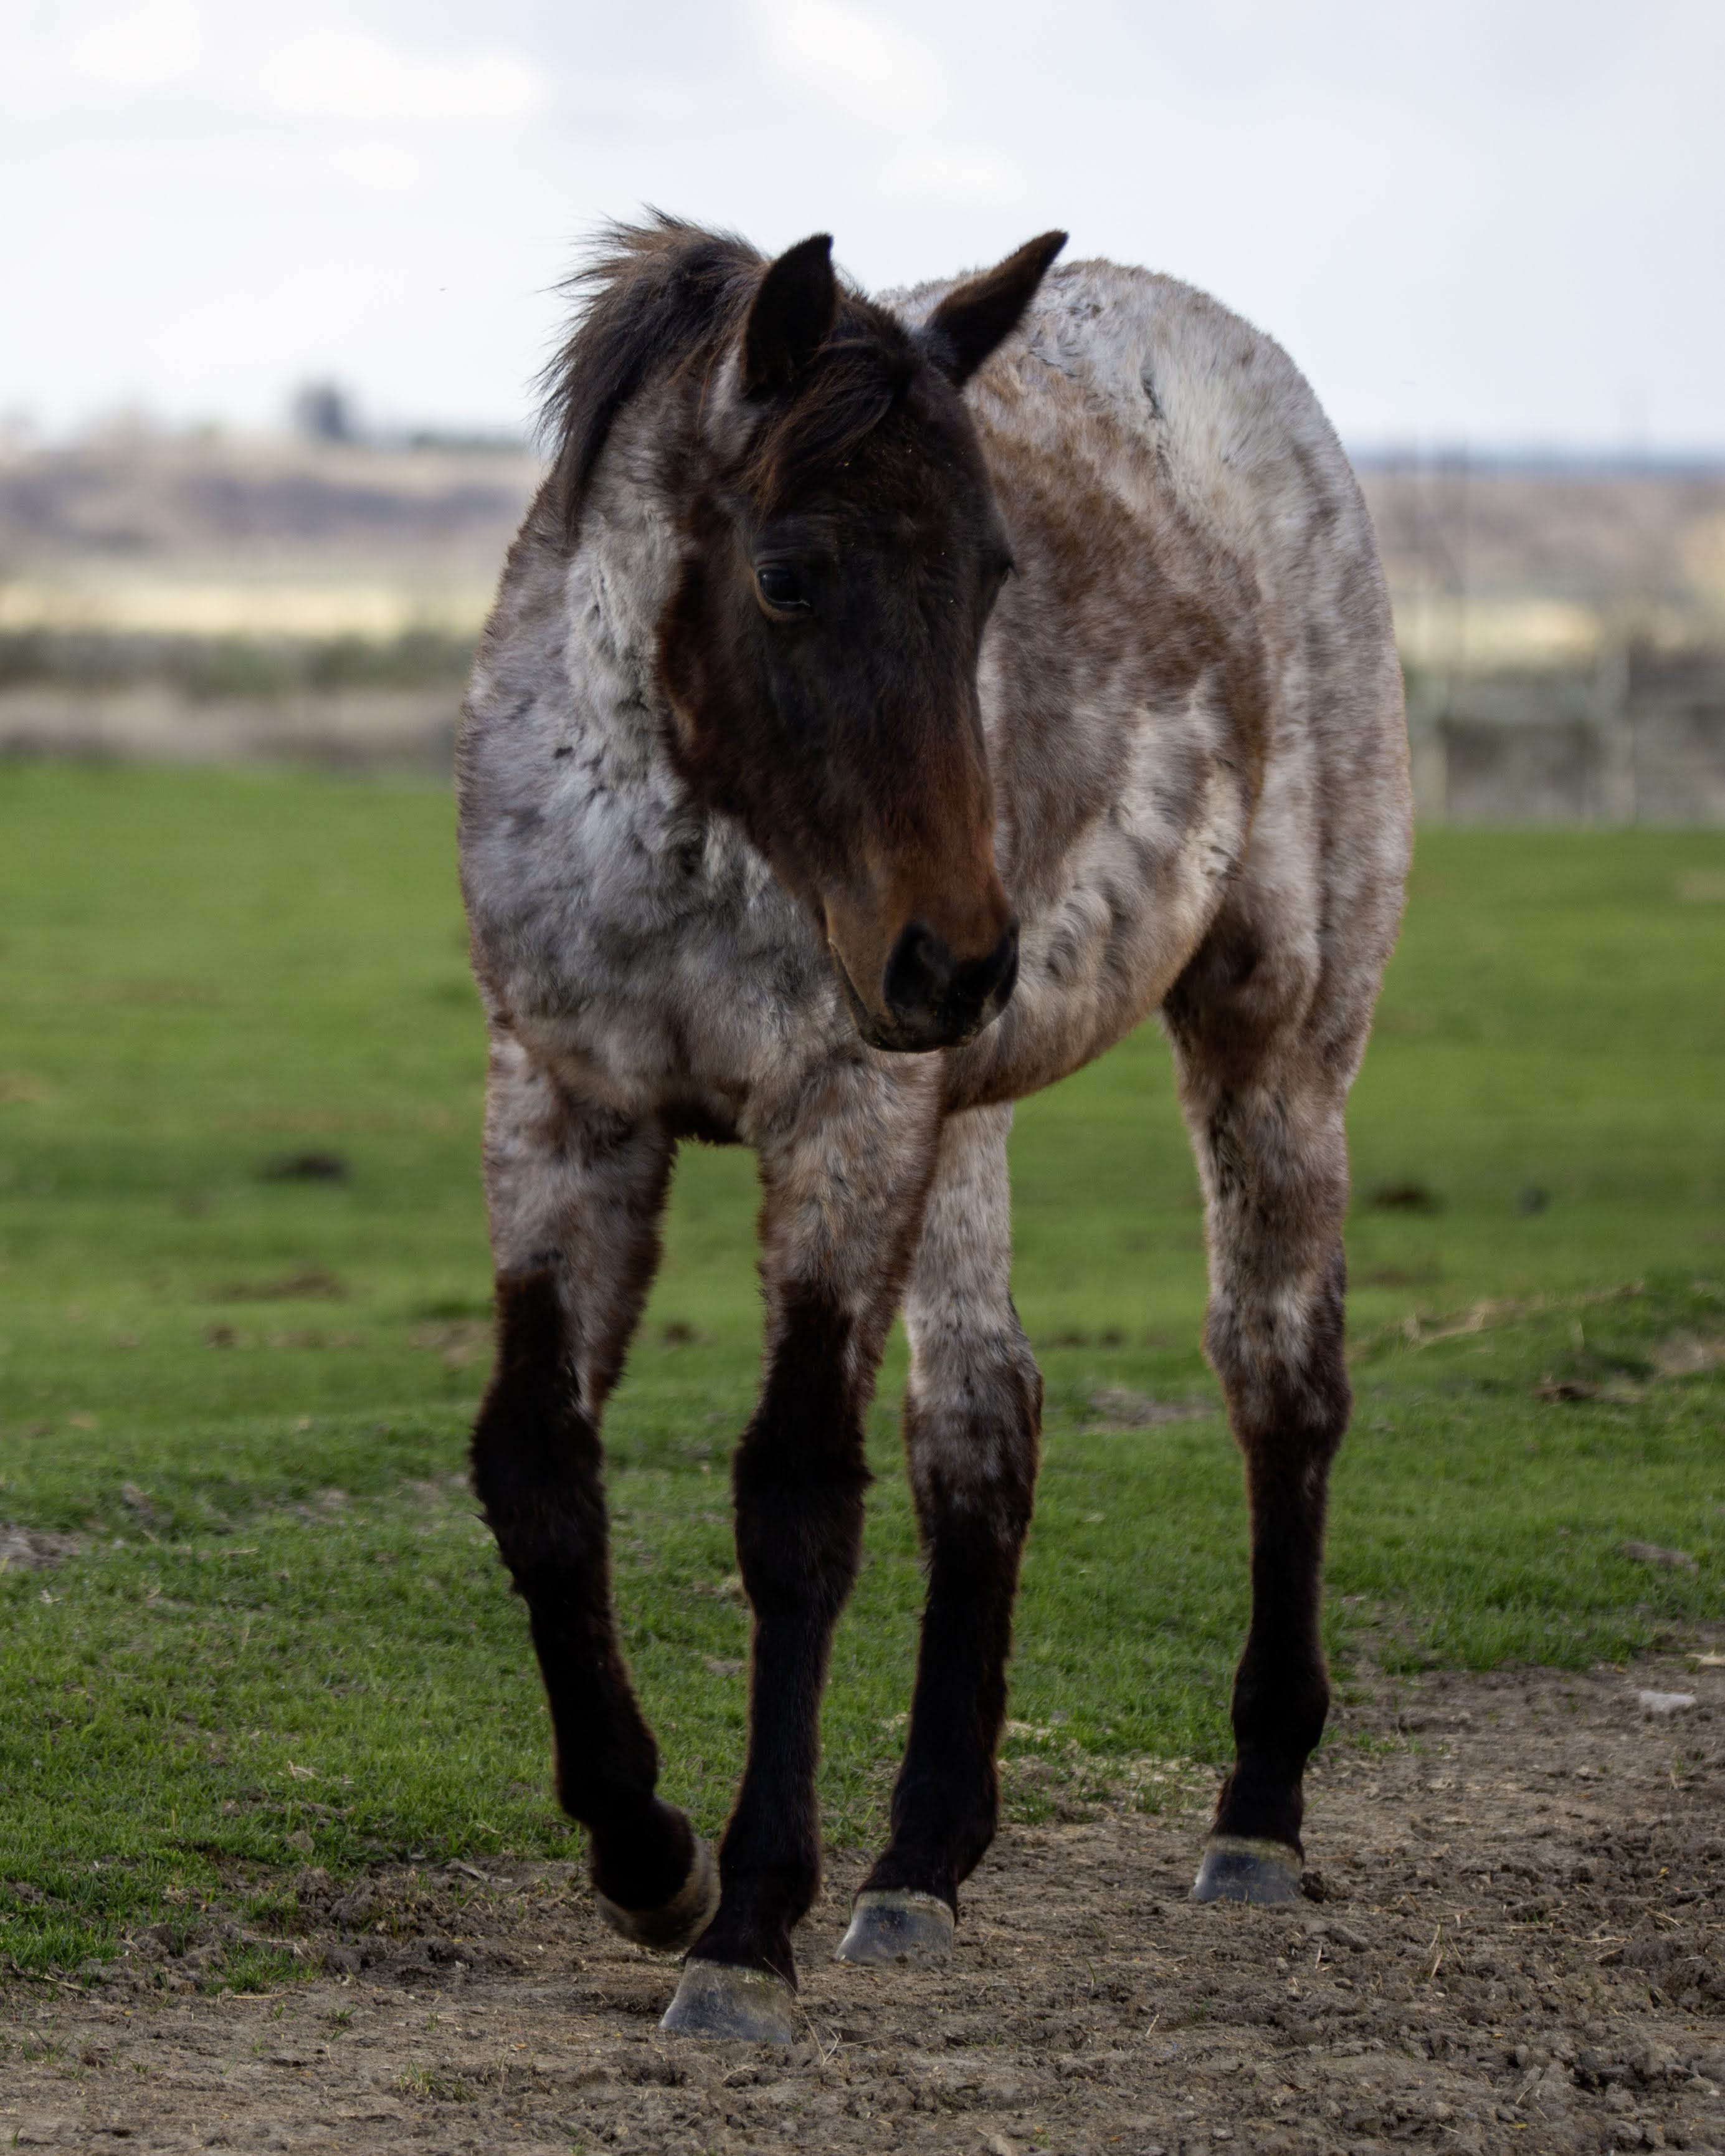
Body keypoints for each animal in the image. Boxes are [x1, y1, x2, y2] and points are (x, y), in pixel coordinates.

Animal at [456, 216, 1412, 2041]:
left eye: (988, 574)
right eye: (787, 576)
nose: (959, 957)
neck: (681, 835)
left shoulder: (842, 1115)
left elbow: (795, 1502)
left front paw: (744, 1922)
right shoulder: (567, 1102)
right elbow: (538, 1468)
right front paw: (644, 1854)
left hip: (1272, 1046)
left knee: (1281, 1382)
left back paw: (1255, 1815)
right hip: (956, 1120)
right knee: (984, 1426)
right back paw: (918, 1861)